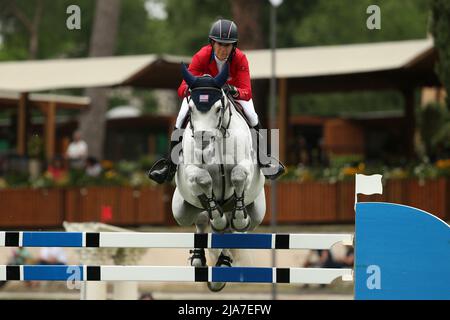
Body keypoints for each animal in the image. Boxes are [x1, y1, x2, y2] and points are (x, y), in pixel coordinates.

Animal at [171, 63, 266, 292]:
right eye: (191, 108)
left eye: (217, 108)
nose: (202, 141)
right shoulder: (191, 171)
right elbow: (204, 179)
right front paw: (218, 217)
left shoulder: (245, 166)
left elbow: (238, 176)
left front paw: (237, 218)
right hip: (181, 211)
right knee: (202, 220)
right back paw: (200, 256)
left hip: (257, 212)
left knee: (237, 231)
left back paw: (223, 263)